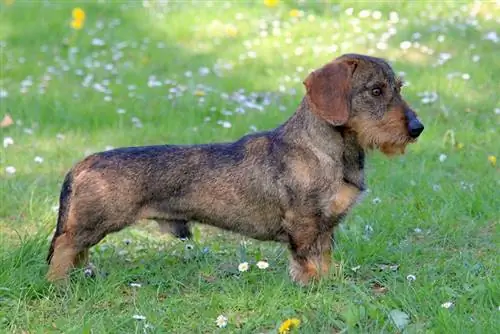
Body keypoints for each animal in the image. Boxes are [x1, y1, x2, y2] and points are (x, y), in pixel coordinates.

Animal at [47, 54, 424, 284]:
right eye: (376, 90)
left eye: (398, 87)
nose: (417, 128)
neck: (326, 151)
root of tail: (84, 162)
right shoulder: (304, 225)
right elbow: (308, 264)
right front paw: (314, 289)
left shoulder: (325, 228)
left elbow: (325, 261)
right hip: (95, 223)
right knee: (64, 246)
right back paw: (58, 284)